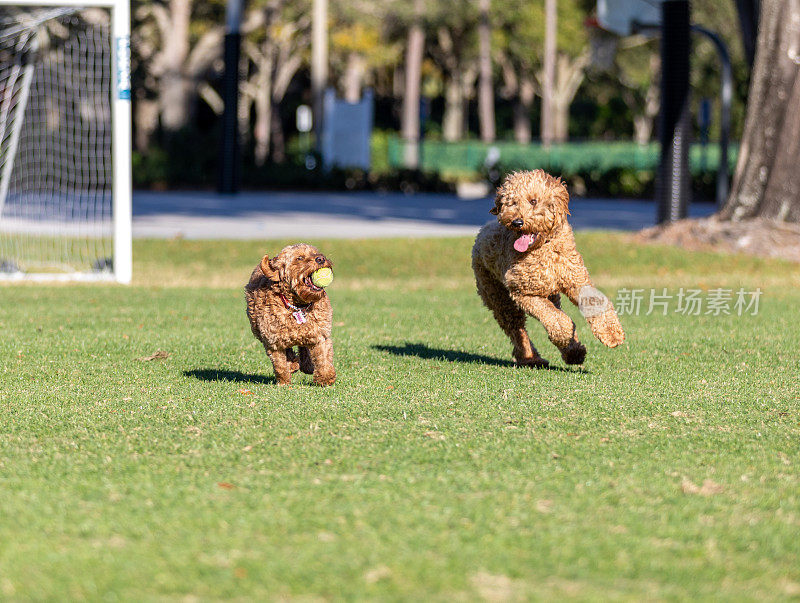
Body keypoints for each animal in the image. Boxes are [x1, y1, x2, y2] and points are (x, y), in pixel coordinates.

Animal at [242, 244, 332, 386]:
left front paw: (326, 379)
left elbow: (323, 357)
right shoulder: (273, 341)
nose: (321, 258)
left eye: (315, 252)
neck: (297, 306)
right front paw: (284, 381)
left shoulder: (319, 334)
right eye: (299, 258)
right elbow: (280, 364)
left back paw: (307, 365)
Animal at [476, 170, 624, 368]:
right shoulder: (525, 293)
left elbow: (594, 303)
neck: (543, 247)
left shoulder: (576, 280)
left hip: (551, 294)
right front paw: (565, 336)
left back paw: (573, 352)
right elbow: (555, 319)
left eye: (533, 201)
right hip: (497, 295)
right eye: (512, 202)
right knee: (517, 329)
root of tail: (482, 230)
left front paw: (611, 334)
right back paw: (532, 358)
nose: (516, 222)